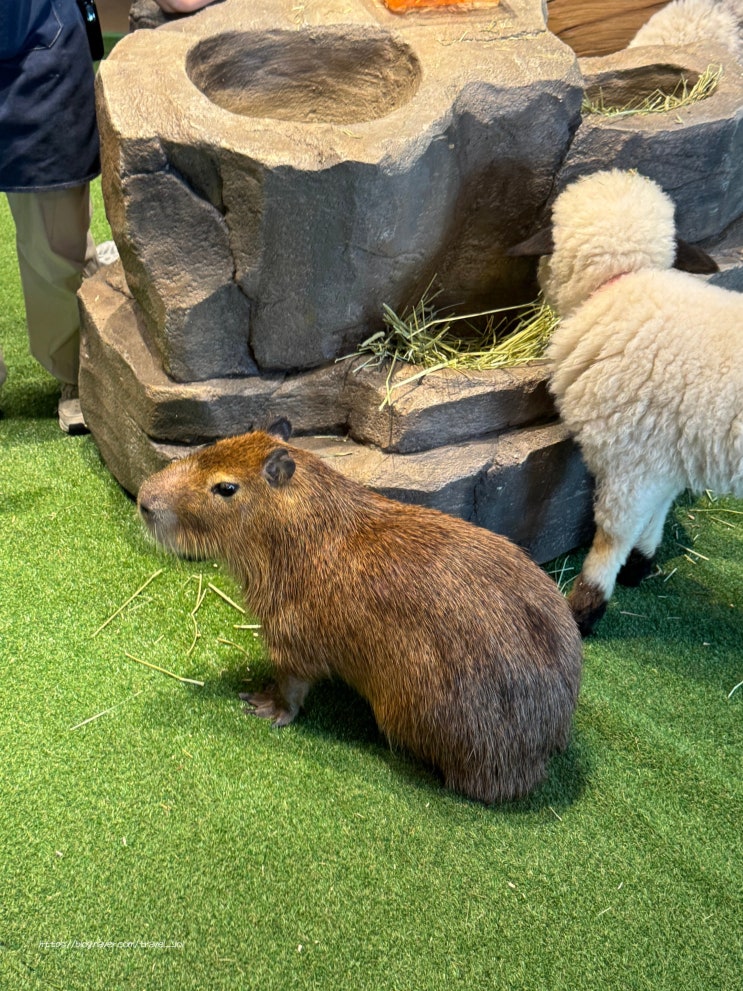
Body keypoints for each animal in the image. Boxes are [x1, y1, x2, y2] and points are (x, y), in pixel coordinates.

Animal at [510, 168, 742, 636]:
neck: (624, 283)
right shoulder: (666, 450)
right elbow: (659, 509)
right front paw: (640, 564)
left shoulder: (630, 453)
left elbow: (613, 533)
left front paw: (586, 607)